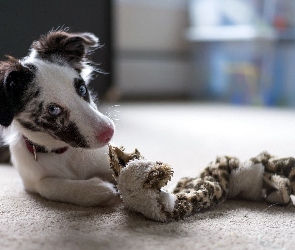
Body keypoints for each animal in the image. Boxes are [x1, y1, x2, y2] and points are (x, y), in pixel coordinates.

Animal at [0, 29, 121, 205]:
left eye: (82, 89)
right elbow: (47, 186)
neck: (62, 152)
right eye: (53, 109)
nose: (109, 133)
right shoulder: (31, 181)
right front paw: (98, 190)